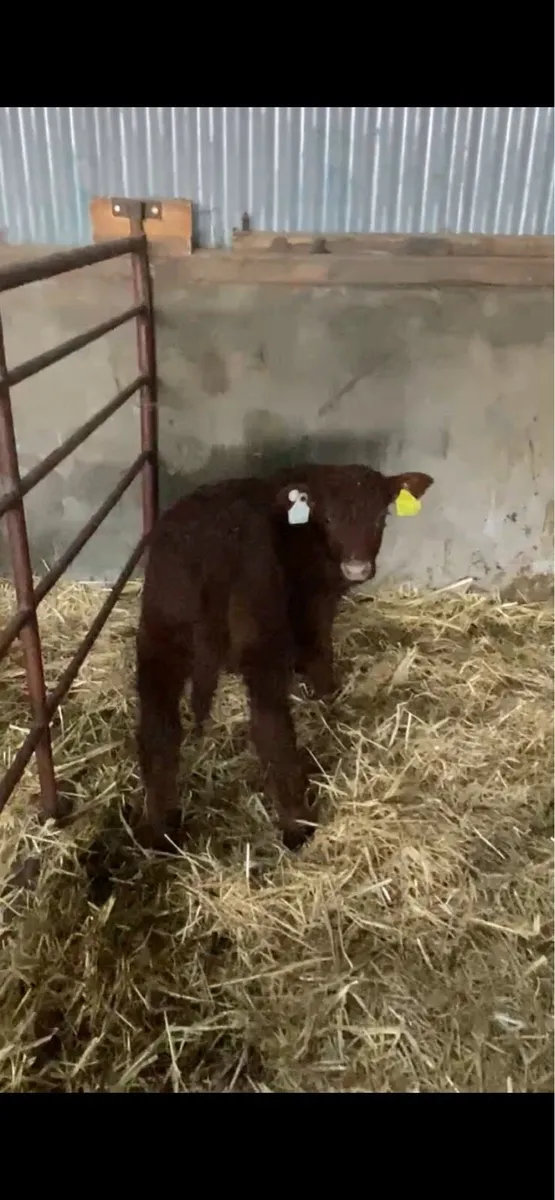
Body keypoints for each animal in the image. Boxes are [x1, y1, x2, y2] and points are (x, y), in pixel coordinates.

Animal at [135, 463, 433, 852]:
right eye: (328, 517)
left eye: (381, 516)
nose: (356, 569)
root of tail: (211, 545)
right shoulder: (315, 600)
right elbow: (317, 649)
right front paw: (328, 696)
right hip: (261, 636)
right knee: (270, 725)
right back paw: (296, 823)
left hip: (158, 633)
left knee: (159, 727)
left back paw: (161, 829)